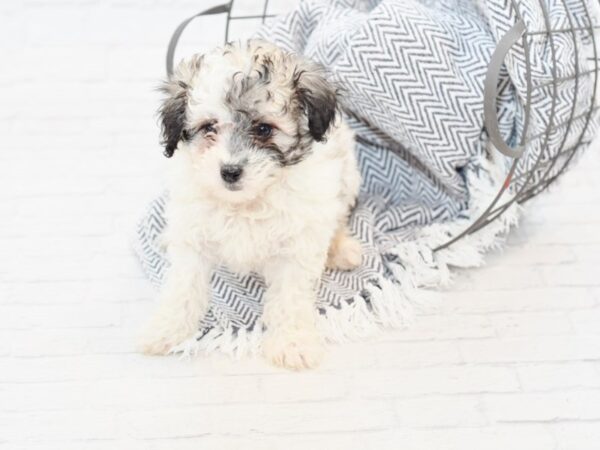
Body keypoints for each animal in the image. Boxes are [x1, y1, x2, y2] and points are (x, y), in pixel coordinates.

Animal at [141, 39, 360, 370]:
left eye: (264, 129)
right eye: (209, 127)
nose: (230, 171)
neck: (245, 202)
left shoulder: (297, 243)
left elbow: (290, 296)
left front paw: (292, 342)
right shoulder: (193, 235)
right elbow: (183, 287)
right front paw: (166, 329)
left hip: (347, 179)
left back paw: (341, 248)